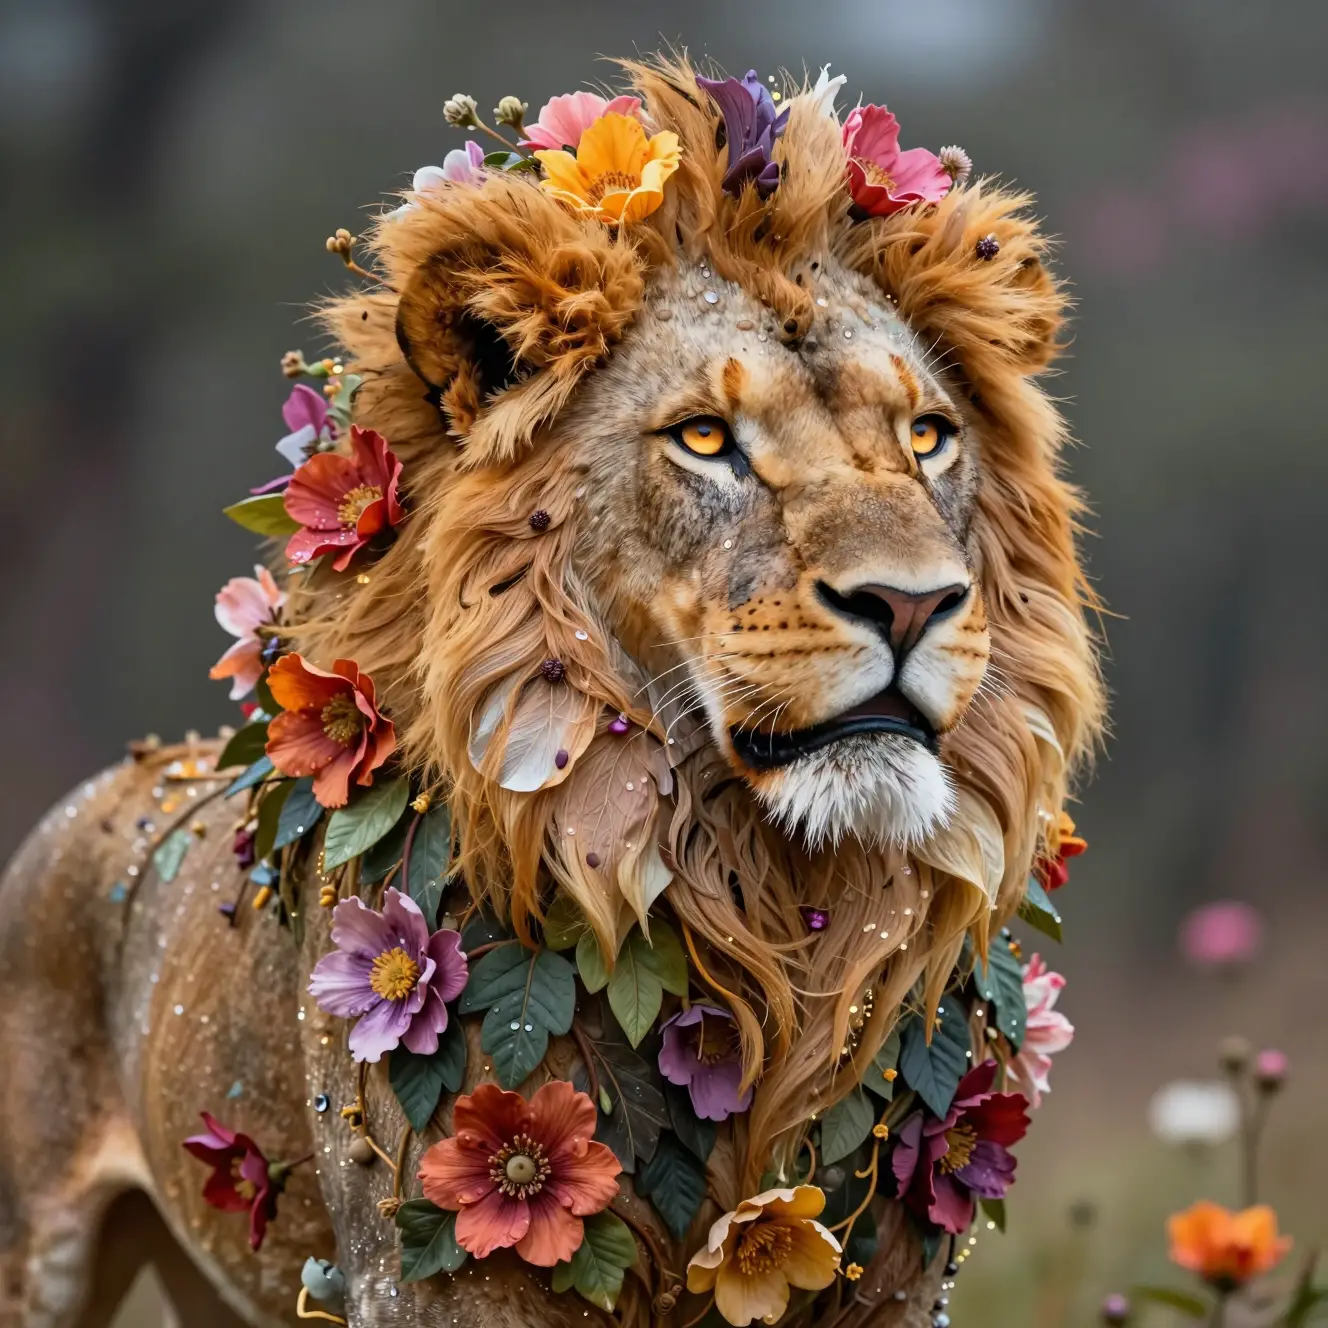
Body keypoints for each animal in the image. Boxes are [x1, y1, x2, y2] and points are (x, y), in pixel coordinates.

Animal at [0, 55, 1102, 1328]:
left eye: (926, 435)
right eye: (705, 438)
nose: (913, 602)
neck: (761, 900)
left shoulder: (900, 1278)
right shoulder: (439, 1272)